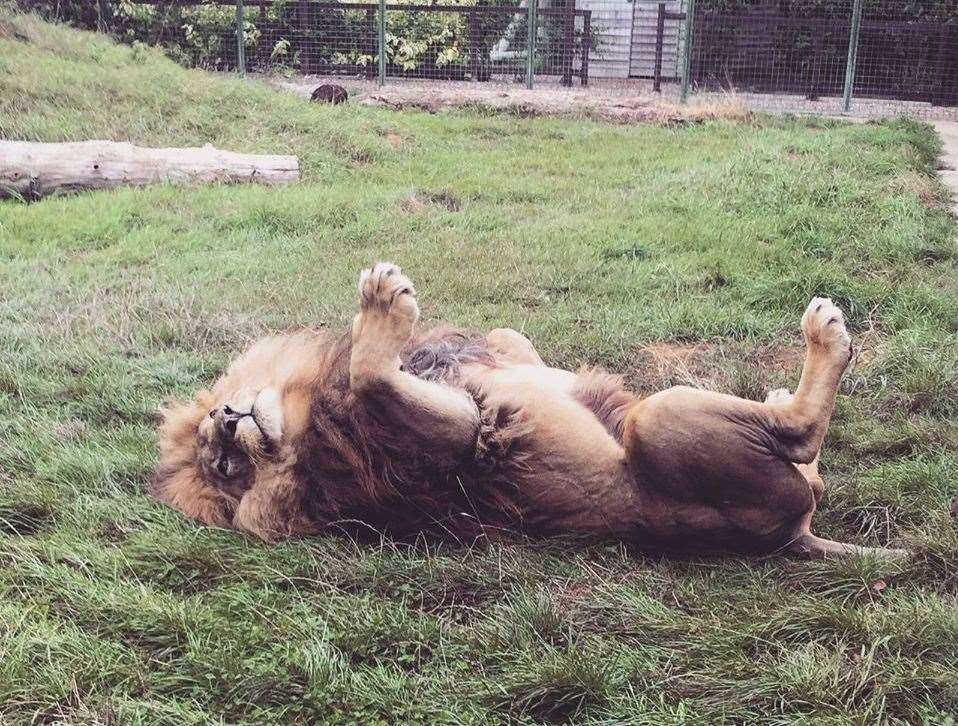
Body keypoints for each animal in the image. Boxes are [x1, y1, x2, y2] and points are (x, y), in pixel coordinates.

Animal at [152, 264, 908, 564]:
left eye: (218, 446)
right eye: (225, 467)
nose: (228, 422)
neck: (308, 412)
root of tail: (793, 536)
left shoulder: (491, 355)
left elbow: (513, 342)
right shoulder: (460, 432)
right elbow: (373, 371)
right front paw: (379, 308)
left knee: (811, 463)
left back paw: (780, 392)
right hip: (664, 420)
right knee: (801, 435)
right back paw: (822, 342)